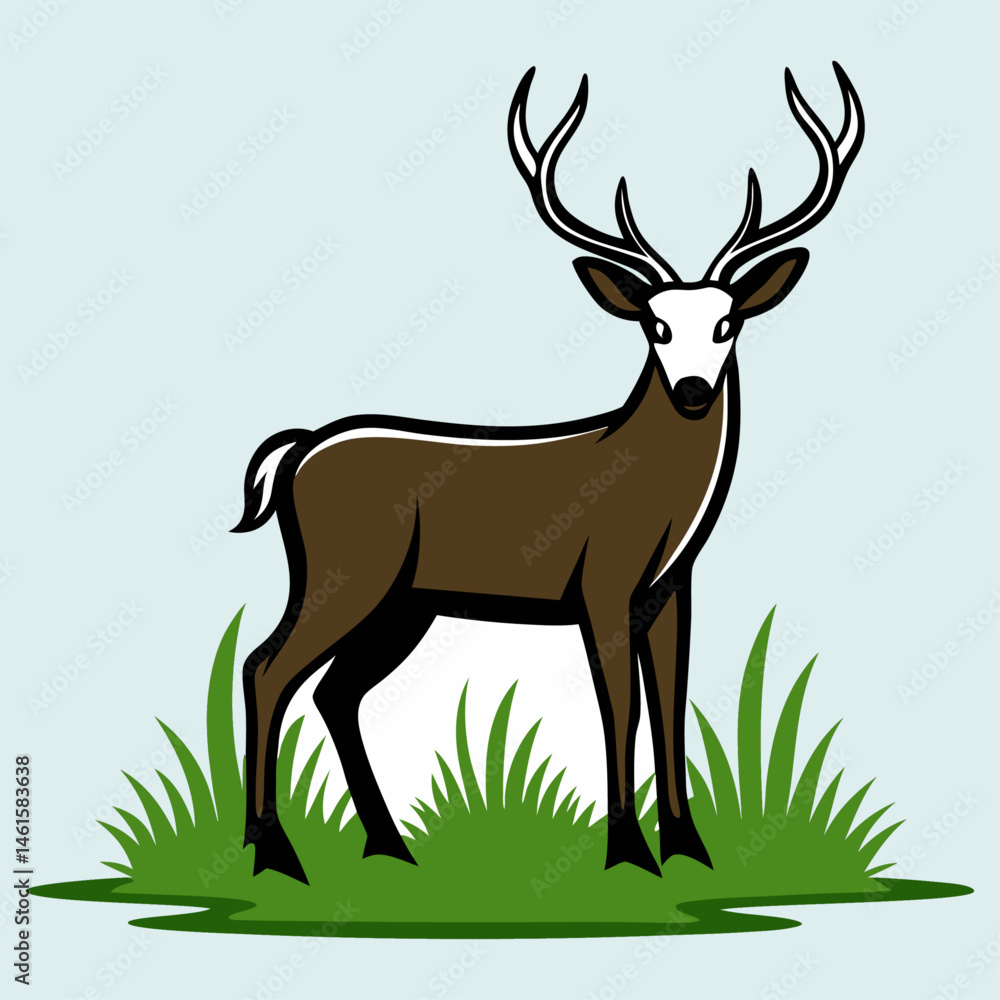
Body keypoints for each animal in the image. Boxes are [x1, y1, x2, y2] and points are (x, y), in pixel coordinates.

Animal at [232, 63, 864, 883]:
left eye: (728, 323)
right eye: (656, 326)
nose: (694, 390)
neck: (660, 496)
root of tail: (299, 450)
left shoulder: (670, 592)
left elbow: (671, 704)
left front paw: (689, 849)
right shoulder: (602, 581)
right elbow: (620, 708)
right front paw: (628, 855)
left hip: (404, 602)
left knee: (336, 691)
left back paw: (388, 847)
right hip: (345, 573)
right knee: (265, 667)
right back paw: (274, 853)